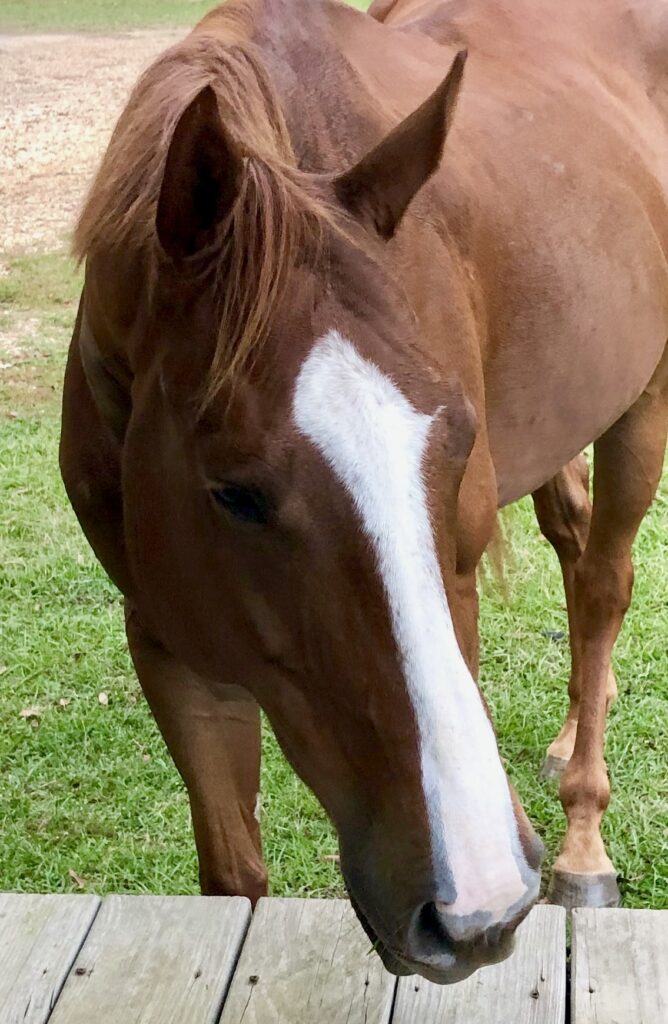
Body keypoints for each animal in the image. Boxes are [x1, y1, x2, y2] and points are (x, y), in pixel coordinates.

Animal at [61, 0, 667, 987]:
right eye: (233, 492)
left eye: (458, 442)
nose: (481, 909)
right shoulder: (169, 640)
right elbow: (233, 877)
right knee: (577, 556)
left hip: (641, 405)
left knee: (605, 584)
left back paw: (585, 839)